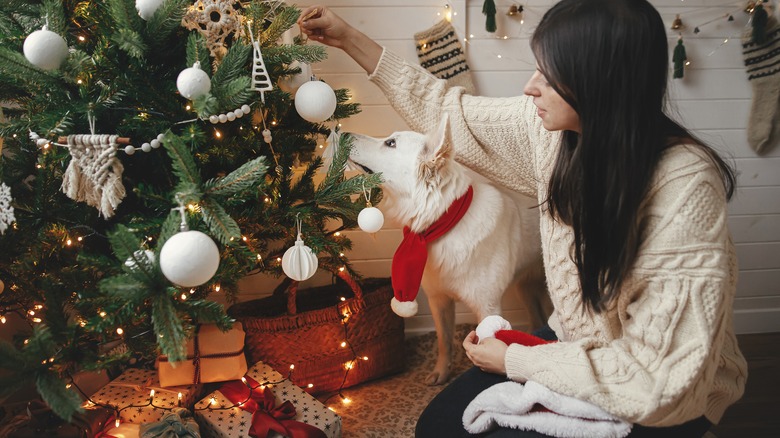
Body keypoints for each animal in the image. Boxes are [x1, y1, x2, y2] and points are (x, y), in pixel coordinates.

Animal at [348, 115, 548, 384]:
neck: (443, 223)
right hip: (526, 288)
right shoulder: (438, 300)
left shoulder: (487, 307)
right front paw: (441, 373)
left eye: (390, 143)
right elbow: (444, 340)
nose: (342, 133)